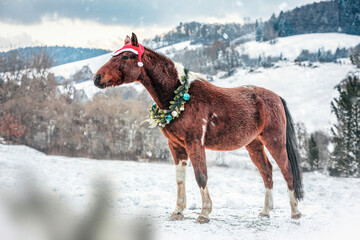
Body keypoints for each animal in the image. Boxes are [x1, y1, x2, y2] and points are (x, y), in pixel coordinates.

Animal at [93, 32, 304, 224]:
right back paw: (266, 211)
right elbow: (180, 179)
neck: (180, 96)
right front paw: (178, 212)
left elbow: (201, 176)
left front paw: (204, 213)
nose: (97, 78)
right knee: (267, 172)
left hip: (274, 141)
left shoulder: (194, 143)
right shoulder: (176, 146)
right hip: (254, 144)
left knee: (287, 171)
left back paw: (295, 212)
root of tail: (275, 97)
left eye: (125, 56)